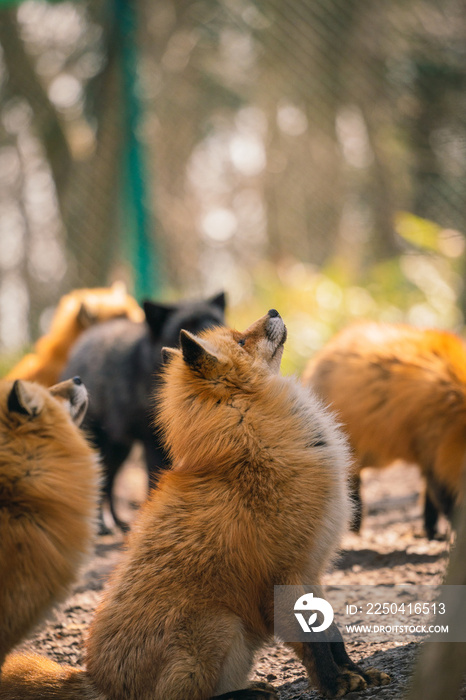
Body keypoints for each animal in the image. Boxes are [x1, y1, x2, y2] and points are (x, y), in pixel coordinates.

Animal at [61, 292, 226, 532]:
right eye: (186, 325)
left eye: (215, 321)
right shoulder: (153, 441)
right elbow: (154, 480)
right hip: (99, 444)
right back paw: (101, 526)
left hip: (121, 449)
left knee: (109, 483)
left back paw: (119, 522)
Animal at [302, 320, 466, 540]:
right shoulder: (436, 454)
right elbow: (447, 503)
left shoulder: (431, 457)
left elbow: (430, 503)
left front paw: (431, 532)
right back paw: (353, 528)